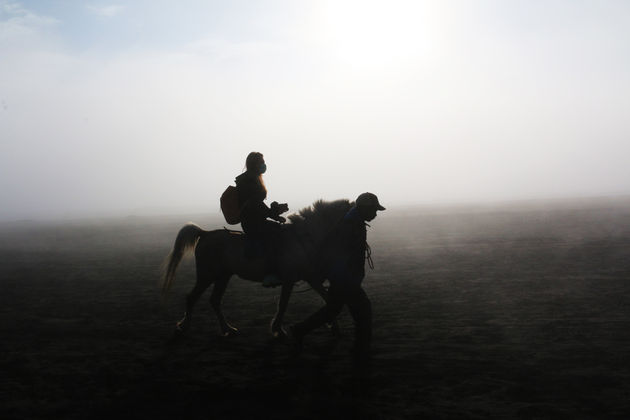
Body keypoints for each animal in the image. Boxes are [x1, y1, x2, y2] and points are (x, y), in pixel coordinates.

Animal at [160, 199, 354, 340]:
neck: (303, 238)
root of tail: (205, 233)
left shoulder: (310, 278)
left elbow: (328, 299)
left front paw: (335, 328)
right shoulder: (290, 279)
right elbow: (283, 305)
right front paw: (278, 330)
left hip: (223, 276)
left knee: (214, 301)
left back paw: (228, 329)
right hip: (207, 275)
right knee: (192, 297)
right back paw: (183, 327)